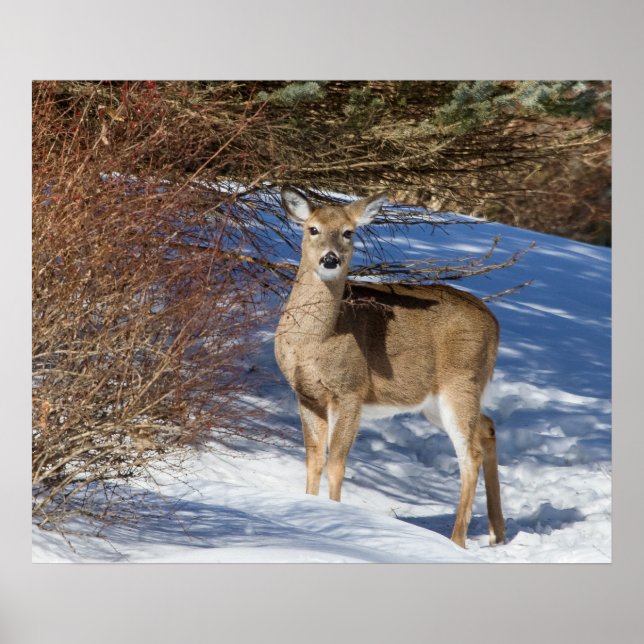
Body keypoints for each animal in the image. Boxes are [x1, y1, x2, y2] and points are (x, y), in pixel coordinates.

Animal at [274, 187, 505, 548]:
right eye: (312, 229)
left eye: (348, 232)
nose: (330, 259)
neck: (316, 341)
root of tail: (495, 323)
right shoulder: (306, 394)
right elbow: (313, 460)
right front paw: (309, 508)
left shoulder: (351, 391)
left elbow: (337, 463)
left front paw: (336, 516)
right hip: (437, 401)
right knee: (488, 427)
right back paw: (497, 533)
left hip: (461, 382)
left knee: (471, 455)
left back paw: (457, 541)